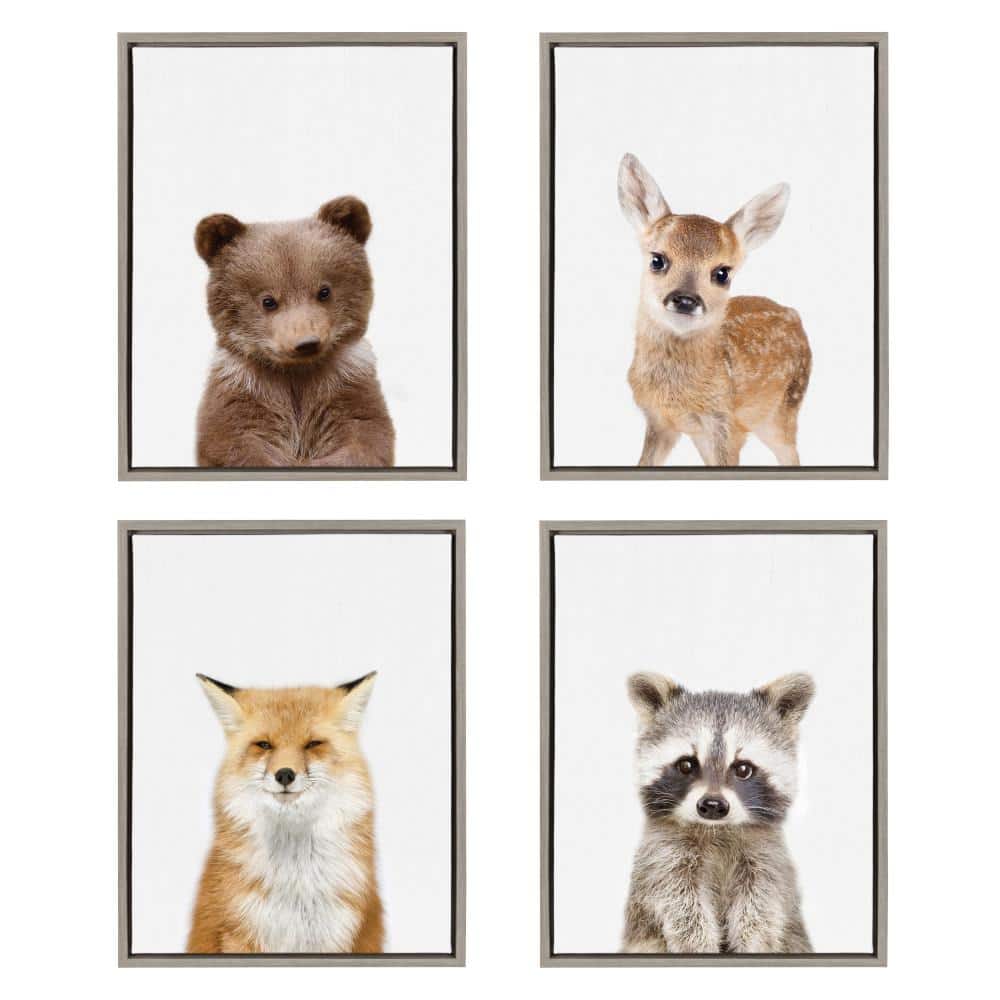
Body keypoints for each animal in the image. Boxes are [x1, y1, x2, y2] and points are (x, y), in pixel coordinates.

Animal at [622, 671, 814, 954]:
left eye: (743, 768)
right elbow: (681, 904)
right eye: (686, 764)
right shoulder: (663, 856)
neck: (716, 830)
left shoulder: (767, 858)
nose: (712, 805)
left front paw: (752, 943)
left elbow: (761, 908)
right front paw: (697, 945)